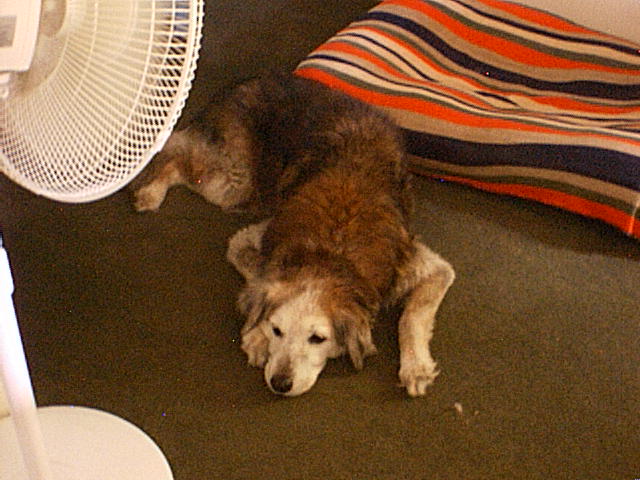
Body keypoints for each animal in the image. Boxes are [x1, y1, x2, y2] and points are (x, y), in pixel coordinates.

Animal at [133, 74, 455, 397]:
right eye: (278, 330)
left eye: (318, 339)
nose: (280, 384)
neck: (331, 252)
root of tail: (244, 83)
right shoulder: (249, 238)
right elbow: (259, 276)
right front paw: (257, 335)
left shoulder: (429, 267)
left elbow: (413, 316)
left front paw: (416, 368)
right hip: (236, 182)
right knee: (176, 155)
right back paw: (150, 192)